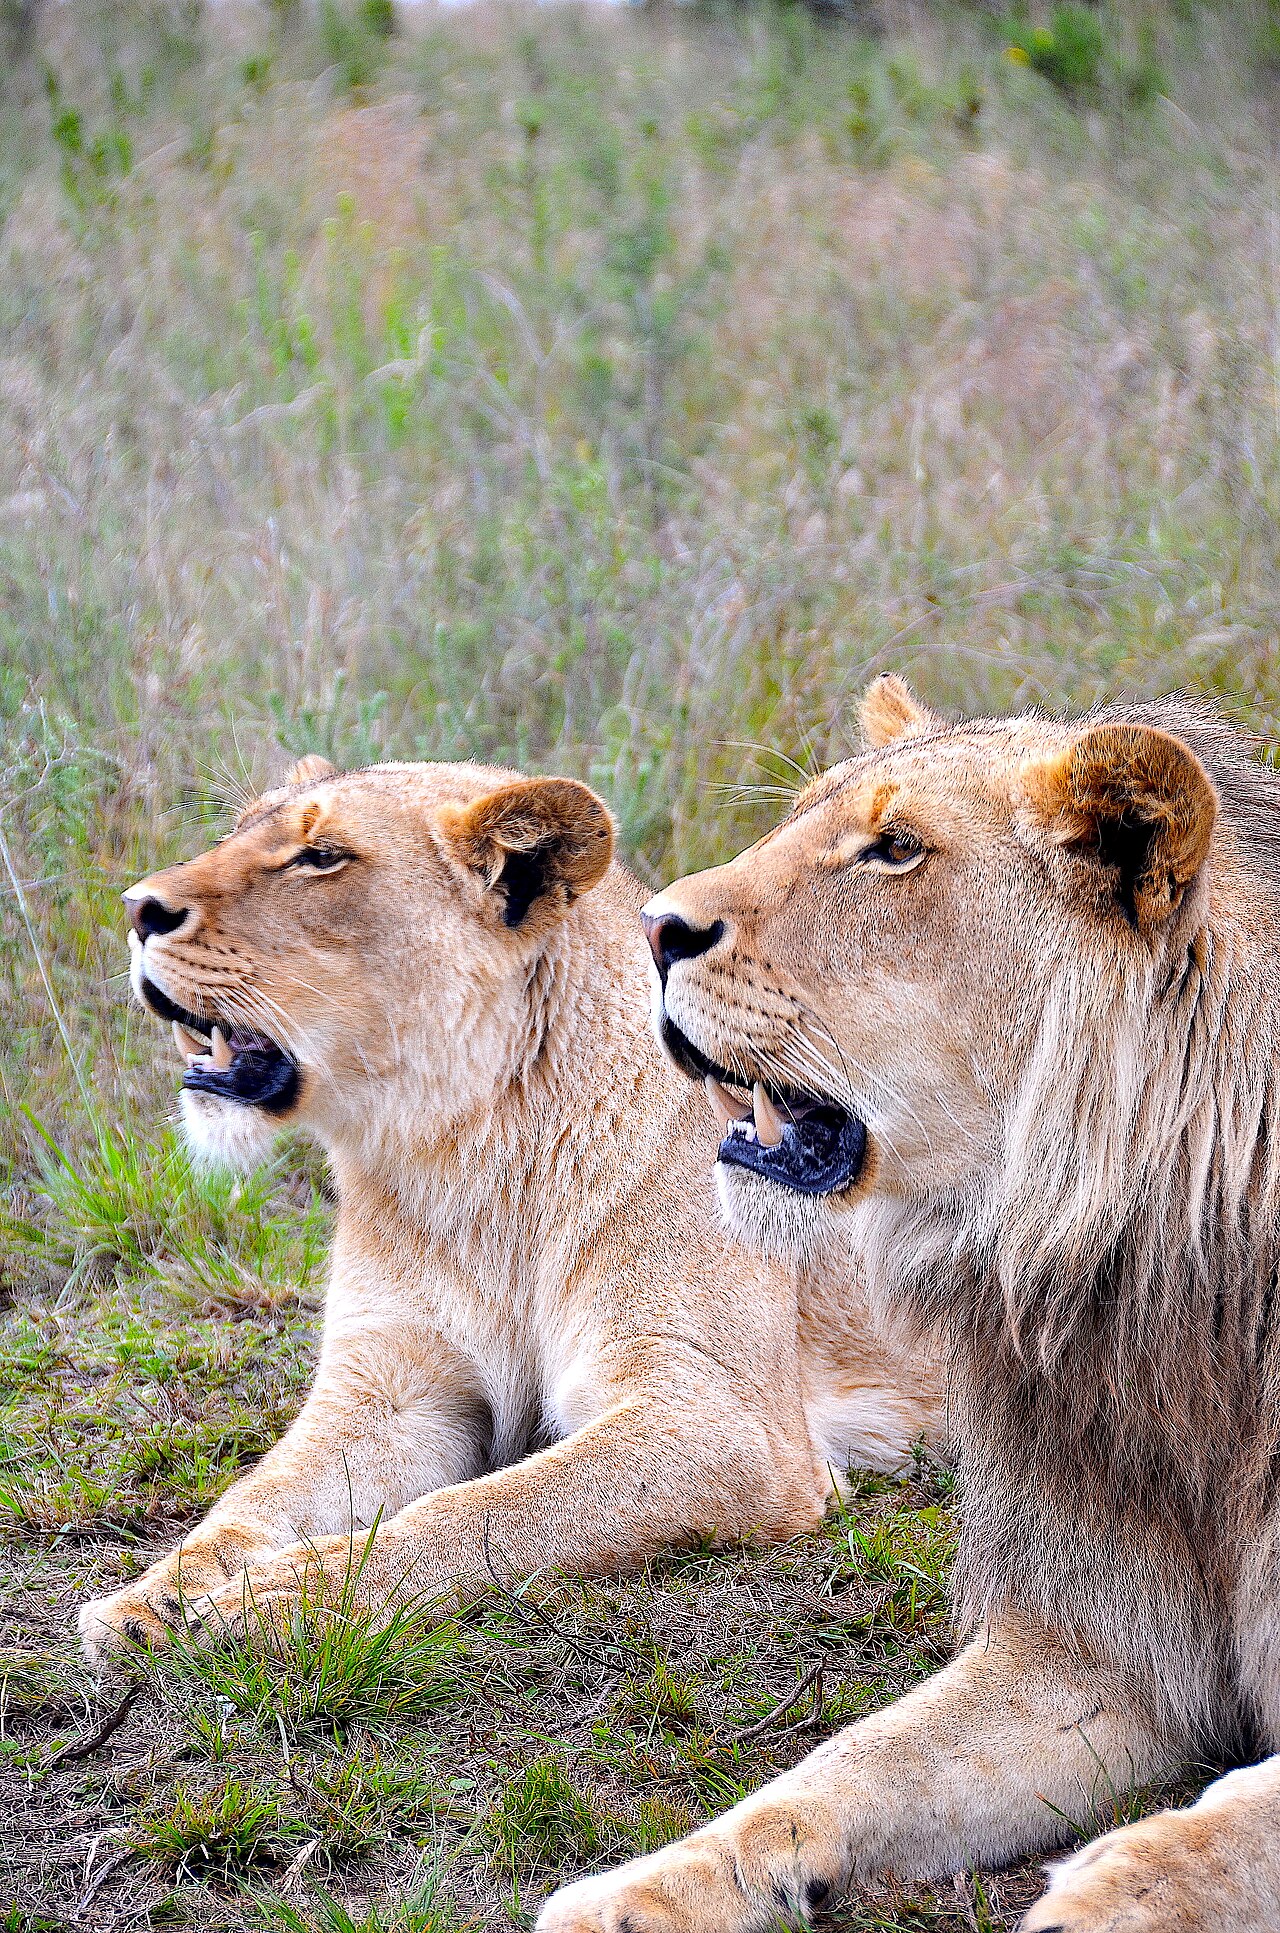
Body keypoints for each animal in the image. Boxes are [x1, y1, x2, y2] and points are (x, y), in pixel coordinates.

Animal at [78, 754, 941, 1667]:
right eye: (240, 830)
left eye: (321, 857)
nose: (136, 908)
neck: (466, 1168)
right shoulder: (389, 1392)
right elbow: (253, 1496)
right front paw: (152, 1597)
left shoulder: (723, 1420)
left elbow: (481, 1512)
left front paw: (287, 1594)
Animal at [538, 678, 1280, 1933]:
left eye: (895, 850)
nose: (649, 928)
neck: (1154, 1296)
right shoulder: (1090, 1653)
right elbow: (836, 1767)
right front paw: (643, 1892)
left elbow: (1224, 1822)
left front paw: (1109, 1895)